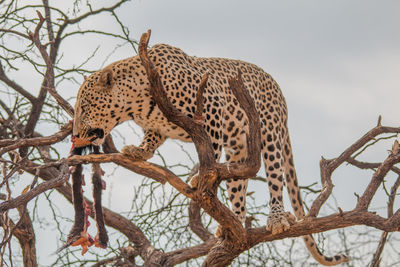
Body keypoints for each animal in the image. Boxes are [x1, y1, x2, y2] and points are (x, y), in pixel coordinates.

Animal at [73, 42, 348, 266]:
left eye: (84, 108)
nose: (74, 135)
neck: (136, 105)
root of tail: (277, 88)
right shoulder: (158, 126)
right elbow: (152, 137)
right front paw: (139, 151)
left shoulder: (211, 106)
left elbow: (210, 147)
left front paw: (202, 175)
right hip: (239, 149)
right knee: (238, 187)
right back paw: (231, 226)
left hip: (269, 133)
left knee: (275, 177)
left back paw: (277, 218)